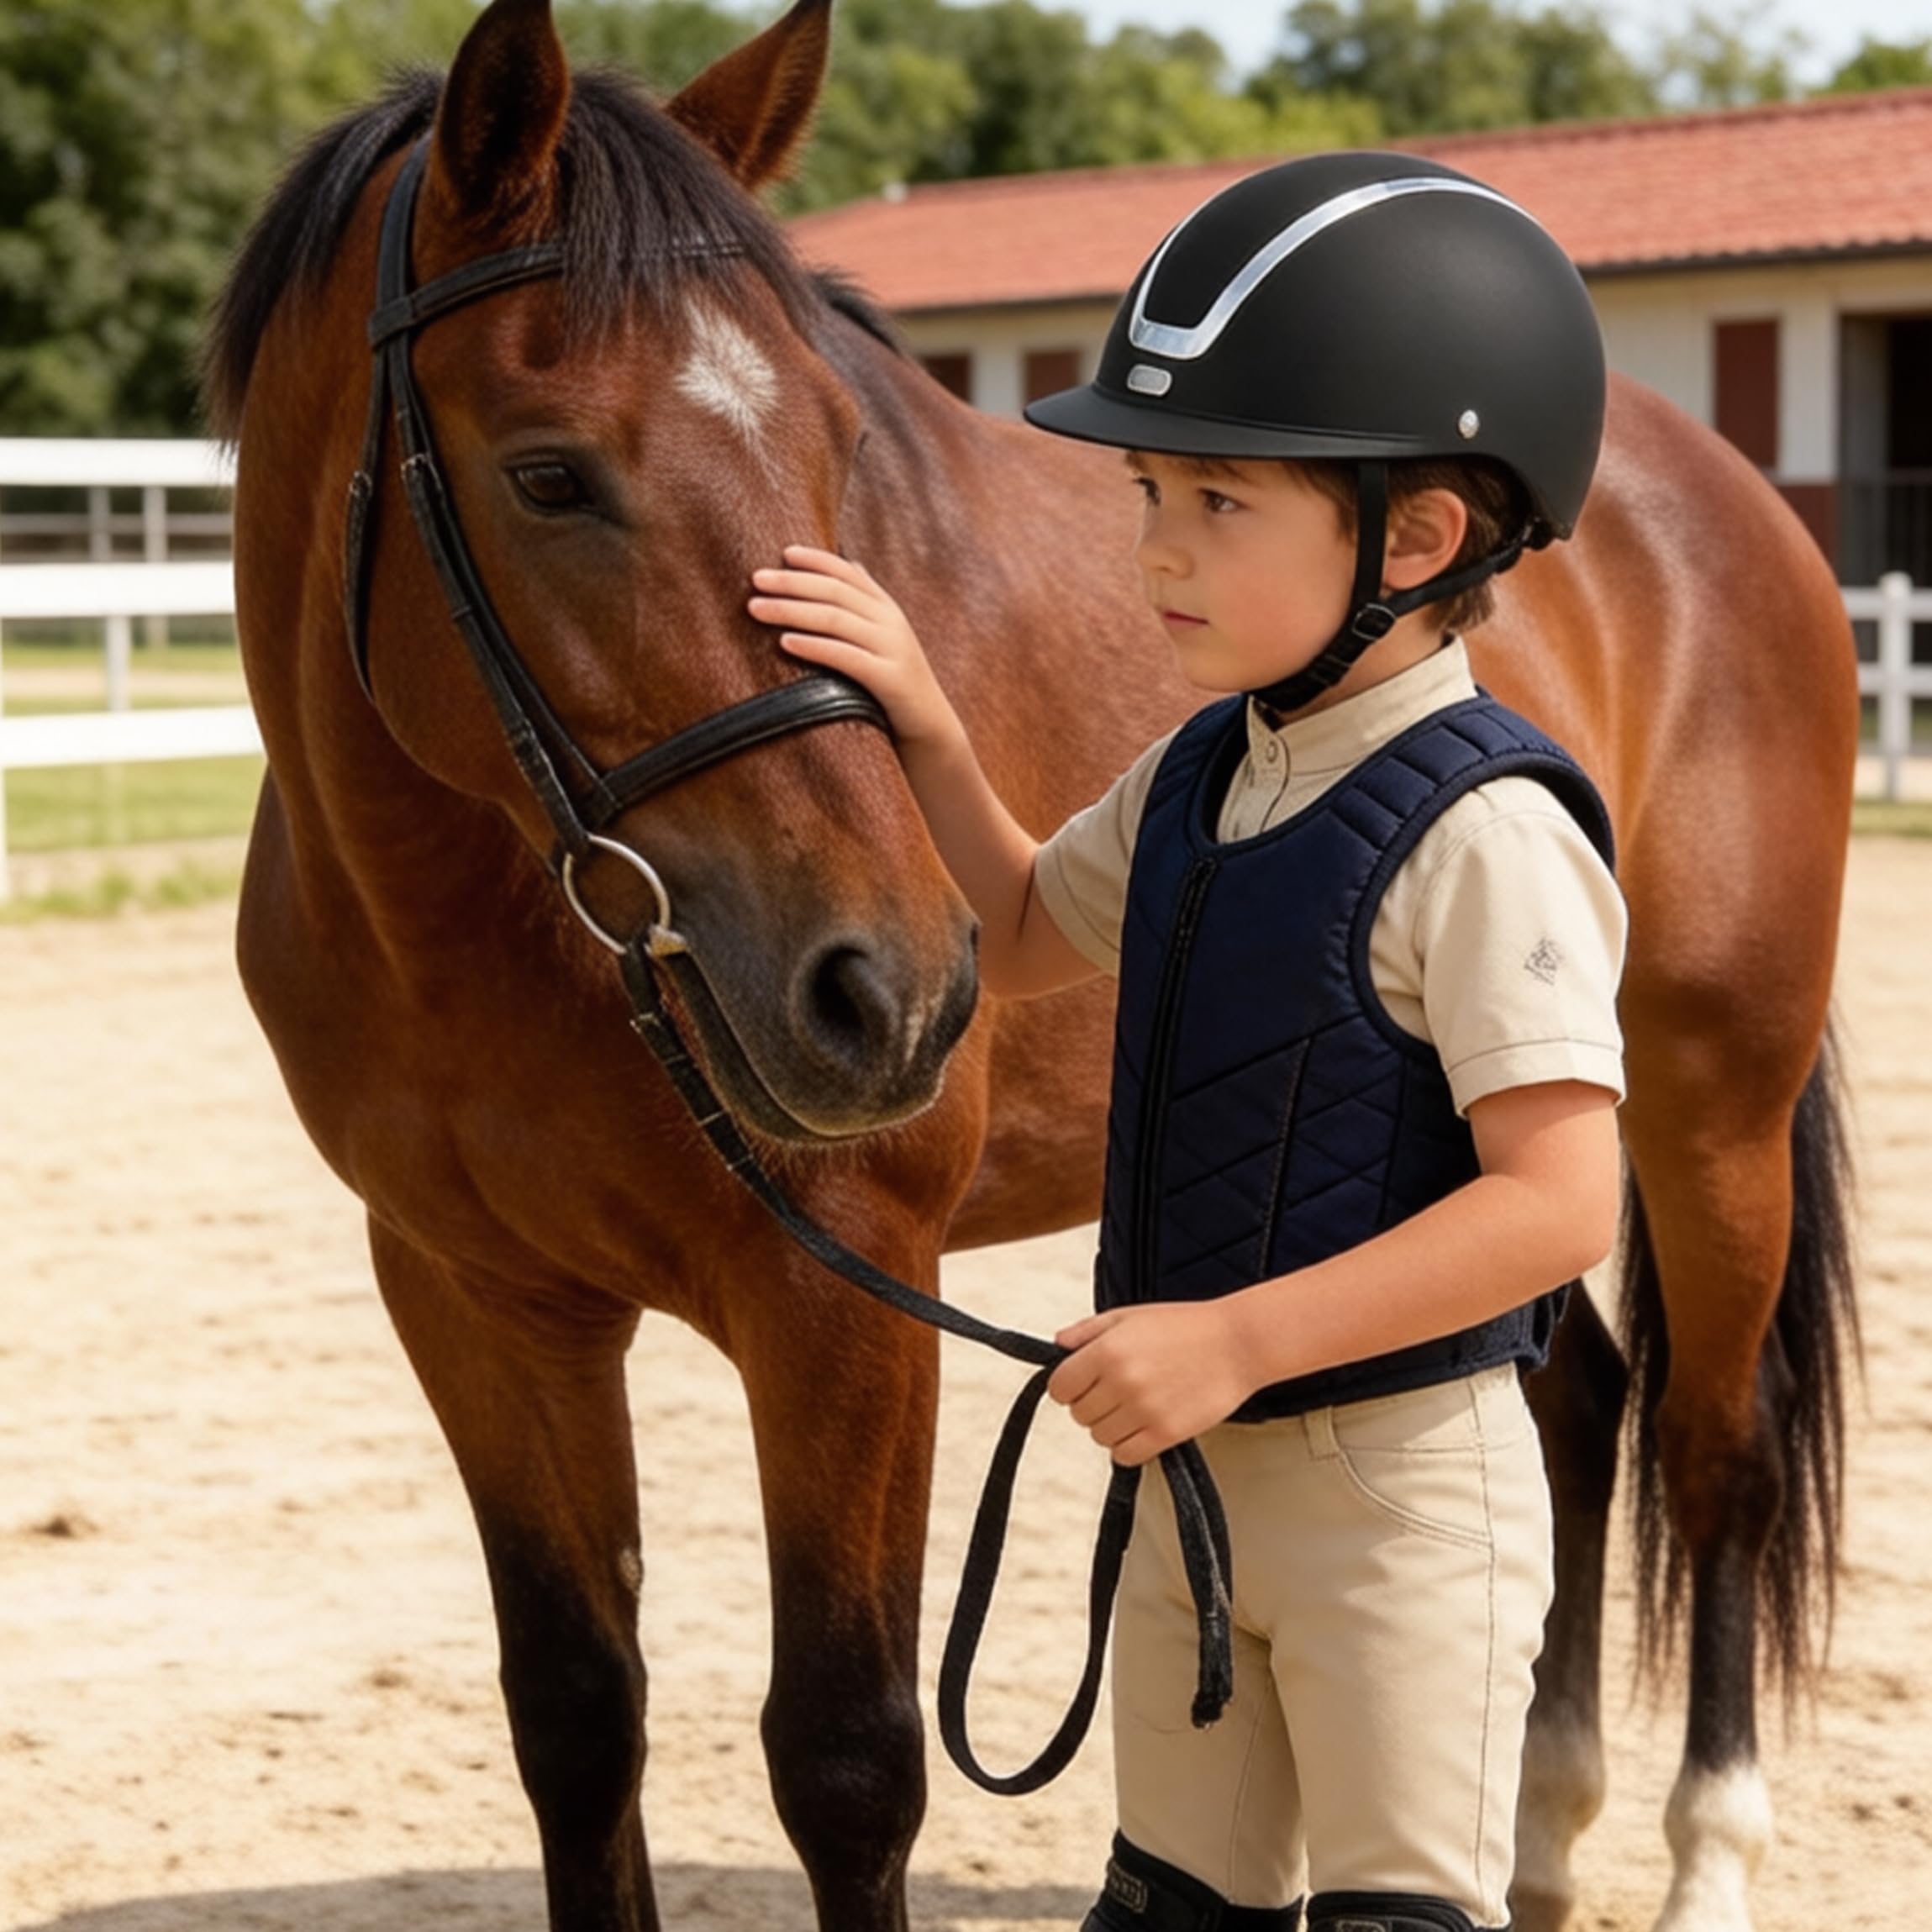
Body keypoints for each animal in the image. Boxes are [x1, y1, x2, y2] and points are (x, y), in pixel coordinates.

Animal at [203, 2, 1860, 1928]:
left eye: (839, 440)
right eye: (547, 472)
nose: (890, 992)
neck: (475, 930)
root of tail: (1719, 492)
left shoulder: (844, 1298)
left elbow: (844, 1758)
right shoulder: (479, 1306)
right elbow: (575, 1715)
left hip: (1706, 1098)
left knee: (1713, 1449)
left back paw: (1702, 1856)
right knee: (1574, 1406)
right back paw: (1538, 1830)